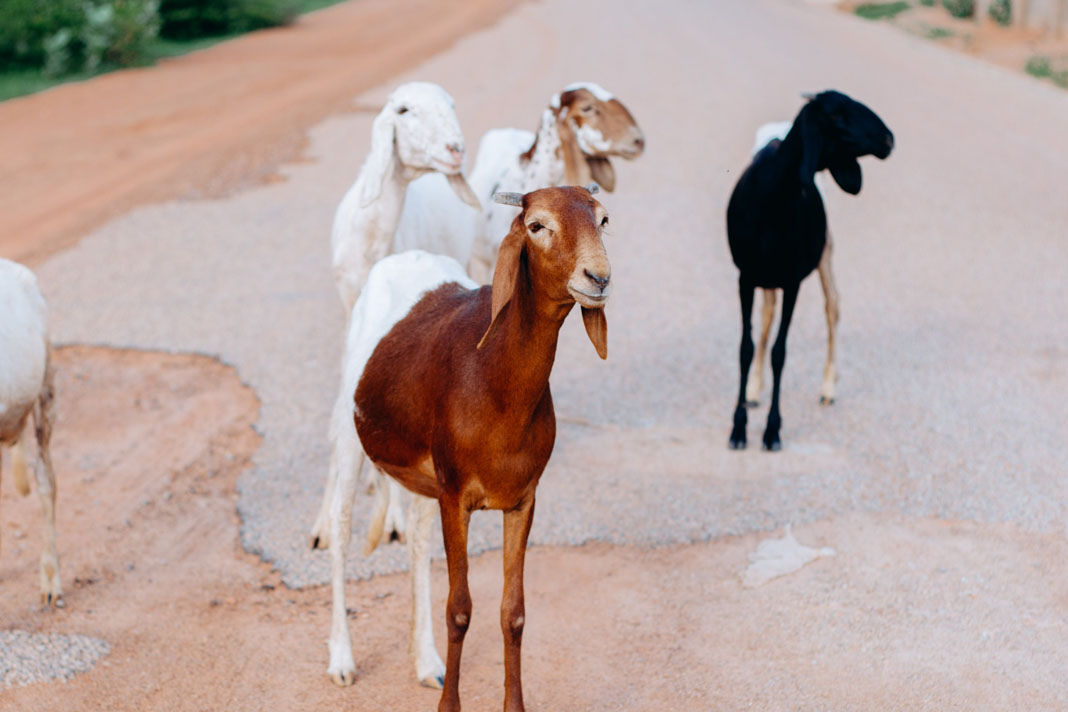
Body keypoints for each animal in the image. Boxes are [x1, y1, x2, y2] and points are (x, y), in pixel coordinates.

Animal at [312, 82, 482, 551]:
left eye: (452, 105)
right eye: (403, 110)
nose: (456, 149)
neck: (373, 238)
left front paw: (394, 520)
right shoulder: (350, 309)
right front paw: (323, 525)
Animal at [325, 186, 612, 712]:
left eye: (603, 220)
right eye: (537, 225)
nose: (598, 277)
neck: (494, 378)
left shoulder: (521, 500)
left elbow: (513, 612)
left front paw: (513, 705)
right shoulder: (457, 497)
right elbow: (459, 609)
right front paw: (449, 706)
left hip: (425, 475)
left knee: (418, 543)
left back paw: (425, 661)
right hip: (349, 431)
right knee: (340, 527)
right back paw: (341, 659)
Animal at [726, 90, 893, 450]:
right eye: (838, 115)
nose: (889, 139)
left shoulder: (792, 281)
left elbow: (780, 352)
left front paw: (773, 431)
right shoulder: (745, 277)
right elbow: (746, 348)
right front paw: (739, 427)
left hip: (824, 252)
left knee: (833, 306)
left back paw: (828, 387)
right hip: (766, 276)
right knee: (767, 316)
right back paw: (754, 390)